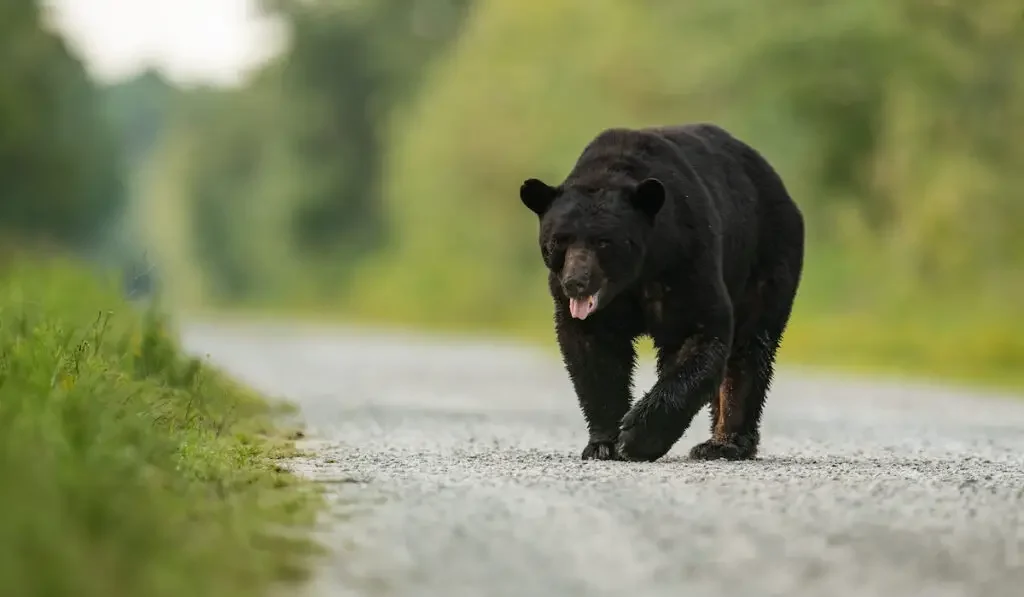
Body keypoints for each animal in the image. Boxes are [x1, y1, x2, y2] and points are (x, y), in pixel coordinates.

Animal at [520, 123, 798, 464]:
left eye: (603, 241)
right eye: (558, 240)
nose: (576, 282)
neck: (634, 276)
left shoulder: (684, 261)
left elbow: (697, 336)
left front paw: (636, 437)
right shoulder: (587, 308)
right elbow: (593, 355)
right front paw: (603, 443)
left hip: (766, 258)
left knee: (750, 348)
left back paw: (724, 443)